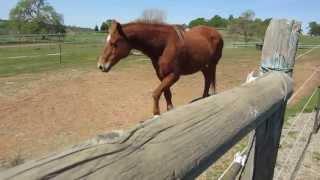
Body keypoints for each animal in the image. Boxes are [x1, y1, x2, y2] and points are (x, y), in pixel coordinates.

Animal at [96, 20, 224, 115]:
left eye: (114, 43)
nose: (101, 66)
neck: (165, 44)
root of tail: (216, 33)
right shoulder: (162, 76)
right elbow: (166, 94)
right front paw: (169, 109)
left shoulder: (174, 75)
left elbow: (156, 93)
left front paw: (156, 113)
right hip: (203, 66)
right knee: (207, 79)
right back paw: (204, 97)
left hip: (212, 64)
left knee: (212, 79)